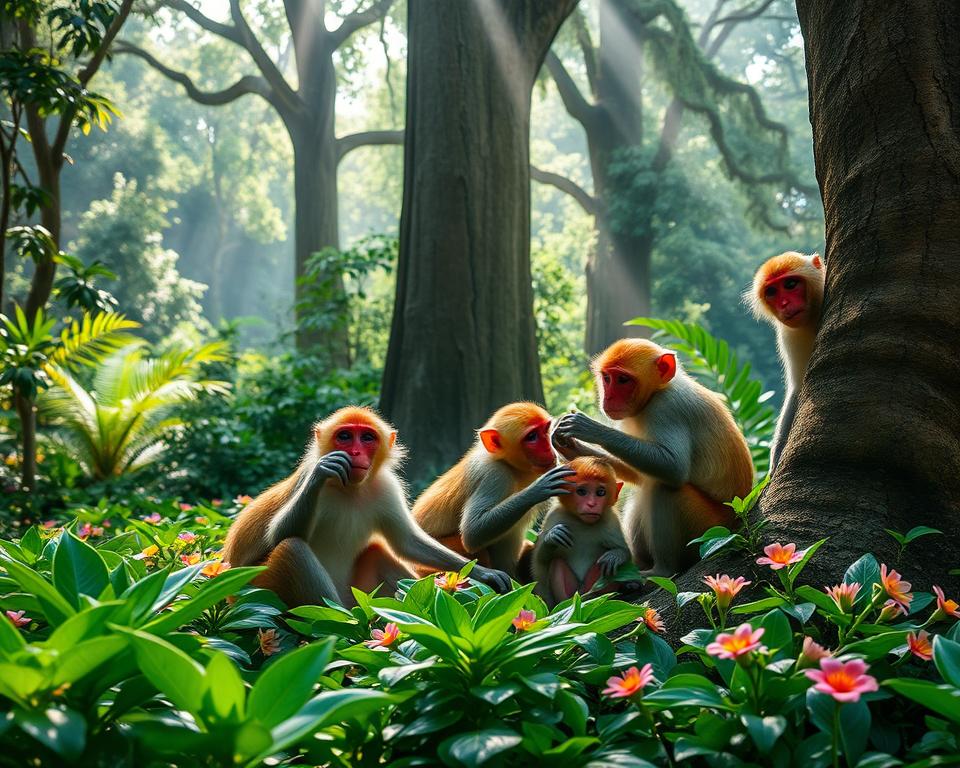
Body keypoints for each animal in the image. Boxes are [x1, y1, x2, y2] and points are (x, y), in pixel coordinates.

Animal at [222, 406, 511, 607]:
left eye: (367, 438)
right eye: (345, 436)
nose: (356, 454)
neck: (351, 489)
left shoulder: (386, 487)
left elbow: (407, 542)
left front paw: (484, 574)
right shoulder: (304, 478)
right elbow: (279, 536)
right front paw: (322, 472)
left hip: (359, 593)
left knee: (376, 552)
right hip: (260, 592)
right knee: (291, 549)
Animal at [412, 402, 575, 579]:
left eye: (545, 430)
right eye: (532, 437)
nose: (548, 447)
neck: (513, 468)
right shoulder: (494, 475)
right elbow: (472, 533)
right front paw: (538, 489)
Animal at [532, 457, 631, 607]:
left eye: (600, 492)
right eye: (582, 491)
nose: (591, 504)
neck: (582, 522)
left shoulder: (611, 520)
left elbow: (626, 553)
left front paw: (616, 555)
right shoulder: (554, 516)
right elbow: (540, 560)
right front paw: (552, 537)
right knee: (557, 564)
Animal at [551, 339, 754, 578]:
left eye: (623, 380)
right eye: (607, 378)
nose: (608, 398)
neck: (656, 392)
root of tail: (737, 521)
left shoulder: (667, 408)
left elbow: (672, 468)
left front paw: (587, 427)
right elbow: (639, 475)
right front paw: (567, 446)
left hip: (709, 532)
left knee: (666, 489)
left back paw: (661, 571)